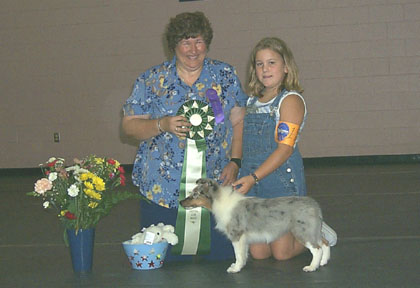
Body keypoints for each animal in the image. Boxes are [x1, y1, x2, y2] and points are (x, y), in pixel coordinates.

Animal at [179, 177, 330, 274]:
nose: (180, 202)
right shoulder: (244, 239)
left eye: (195, 194)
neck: (219, 201)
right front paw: (238, 266)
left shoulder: (237, 235)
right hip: (313, 230)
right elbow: (243, 254)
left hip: (303, 231)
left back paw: (312, 267)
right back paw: (323, 262)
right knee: (325, 243)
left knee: (317, 249)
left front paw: (235, 269)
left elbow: (238, 254)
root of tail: (314, 205)